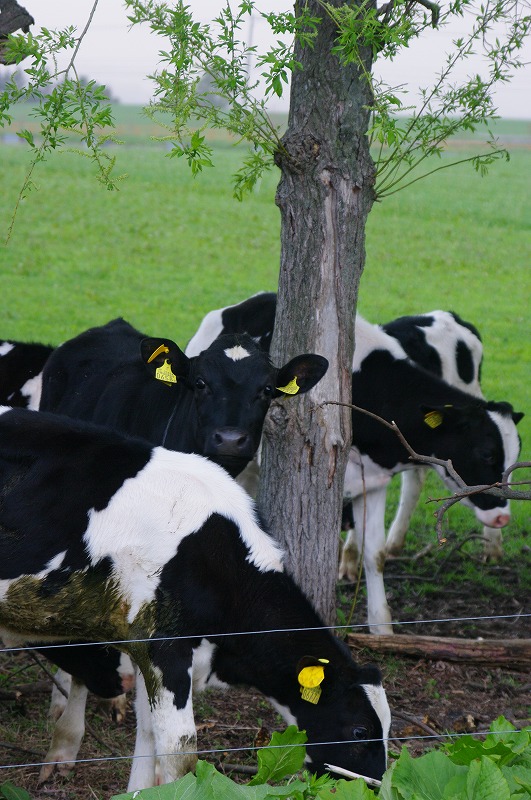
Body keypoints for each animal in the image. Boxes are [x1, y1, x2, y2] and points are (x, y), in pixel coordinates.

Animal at [0, 406, 390, 791]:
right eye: (360, 730)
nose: (374, 786)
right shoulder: (165, 646)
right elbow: (179, 751)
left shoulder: (144, 647)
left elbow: (148, 736)